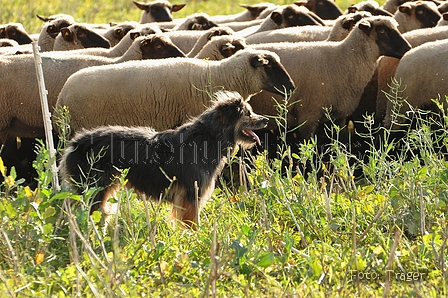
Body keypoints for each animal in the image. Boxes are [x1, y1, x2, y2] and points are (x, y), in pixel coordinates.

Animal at [60, 91, 270, 228]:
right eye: (248, 114)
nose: (267, 120)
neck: (209, 137)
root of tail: (75, 143)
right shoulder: (190, 195)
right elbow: (192, 223)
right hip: (93, 188)